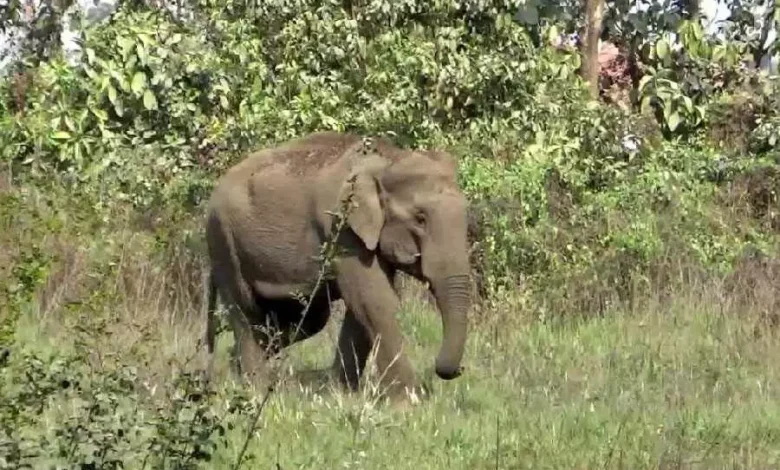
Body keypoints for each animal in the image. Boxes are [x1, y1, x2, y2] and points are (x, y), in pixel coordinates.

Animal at [204, 130, 472, 398]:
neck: (387, 159)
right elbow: (375, 300)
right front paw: (407, 400)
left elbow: (361, 307)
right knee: (246, 314)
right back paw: (254, 390)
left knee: (305, 319)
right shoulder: (342, 228)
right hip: (224, 243)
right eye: (420, 219)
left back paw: (236, 369)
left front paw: (340, 392)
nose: (458, 370)